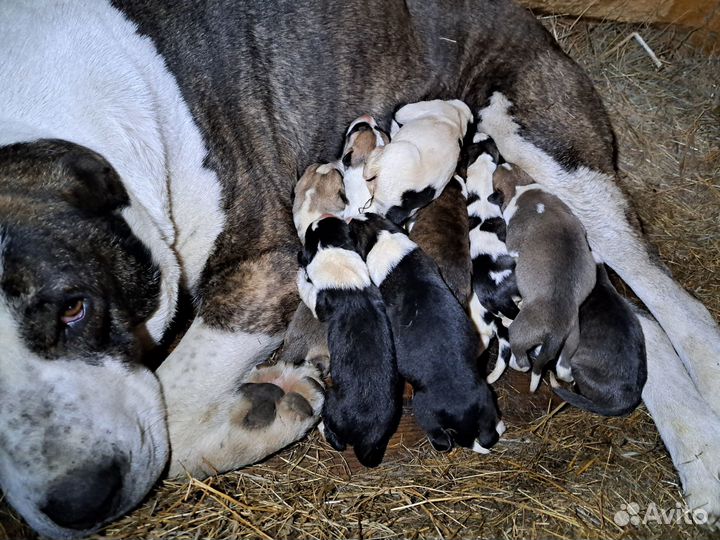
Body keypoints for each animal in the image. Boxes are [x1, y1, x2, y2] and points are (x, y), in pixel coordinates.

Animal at [352, 213, 504, 454]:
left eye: (354, 229)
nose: (350, 218)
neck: (383, 236)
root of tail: (462, 411)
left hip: (424, 410)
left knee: (442, 439)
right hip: (486, 404)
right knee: (488, 435)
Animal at [496, 162, 596, 390]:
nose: (501, 162)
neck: (521, 187)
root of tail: (555, 330)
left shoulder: (513, 244)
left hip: (521, 333)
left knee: (523, 361)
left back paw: (508, 325)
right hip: (572, 340)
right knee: (563, 367)